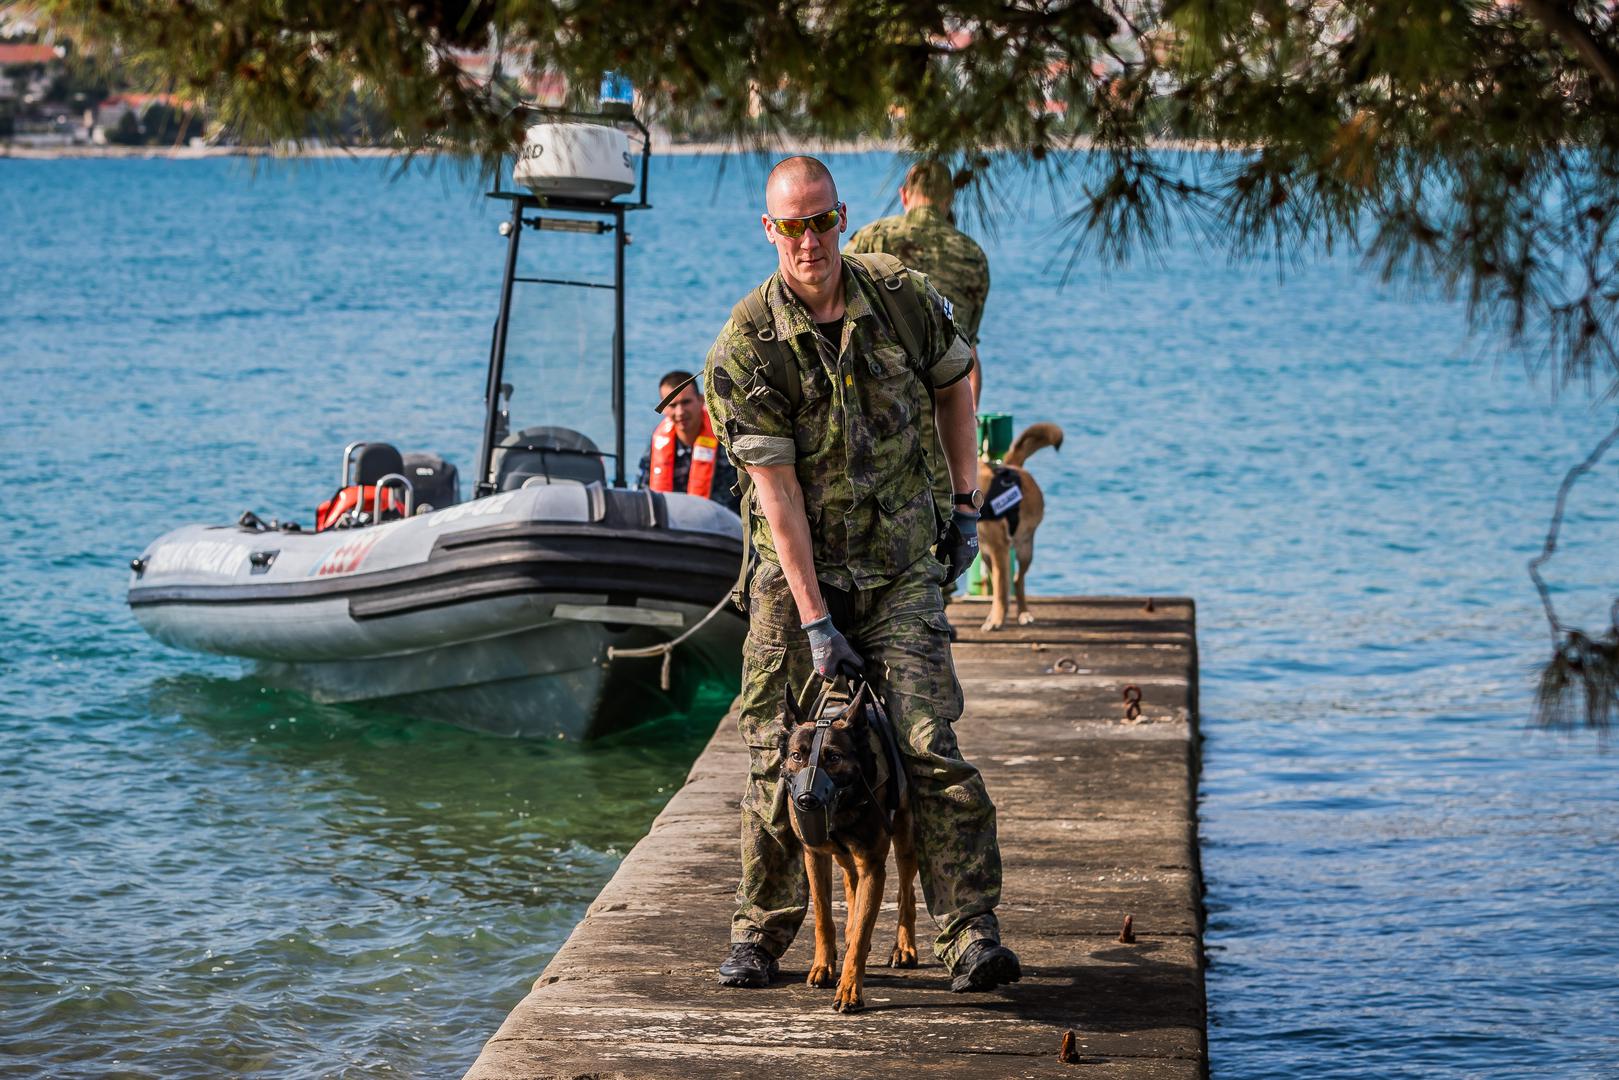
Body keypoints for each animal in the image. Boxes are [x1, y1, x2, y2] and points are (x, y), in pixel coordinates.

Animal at [780, 680, 919, 1016]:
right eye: (797, 756)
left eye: (834, 757)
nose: (807, 801)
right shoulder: (815, 856)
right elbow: (822, 916)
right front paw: (823, 966)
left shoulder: (873, 866)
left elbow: (860, 933)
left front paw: (850, 989)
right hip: (844, 857)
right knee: (851, 885)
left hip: (905, 842)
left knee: (906, 891)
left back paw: (904, 946)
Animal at [971, 417, 1062, 628]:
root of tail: (1014, 466)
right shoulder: (992, 552)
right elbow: (1000, 587)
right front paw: (996, 617)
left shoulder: (999, 548)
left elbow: (1002, 589)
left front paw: (997, 620)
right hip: (987, 556)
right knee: (1006, 581)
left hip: (1024, 550)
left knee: (1017, 580)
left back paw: (1023, 613)